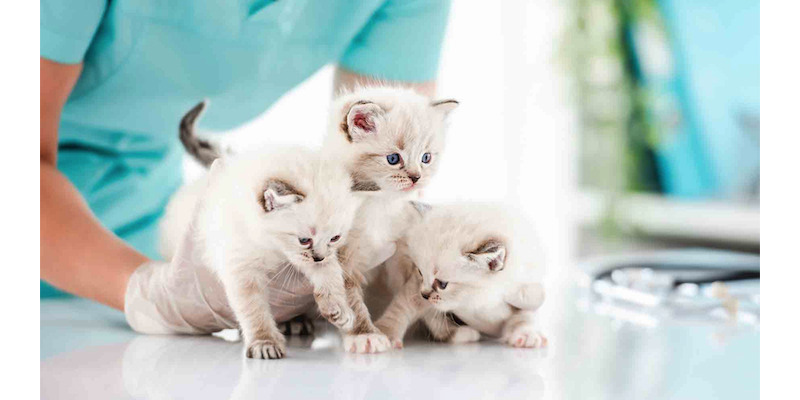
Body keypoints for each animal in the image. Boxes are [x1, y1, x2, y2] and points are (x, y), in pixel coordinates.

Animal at [160, 102, 364, 359]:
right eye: (304, 240)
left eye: (335, 238)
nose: (318, 257)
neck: (273, 248)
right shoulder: (240, 267)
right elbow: (253, 309)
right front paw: (264, 342)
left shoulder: (315, 258)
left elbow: (331, 274)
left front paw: (338, 309)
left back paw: (295, 320)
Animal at [321, 86, 459, 353]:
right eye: (393, 159)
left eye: (426, 158)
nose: (416, 178)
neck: (381, 204)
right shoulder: (343, 257)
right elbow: (350, 302)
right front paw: (365, 335)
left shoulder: (408, 255)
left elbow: (411, 299)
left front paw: (391, 330)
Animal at [374, 202, 548, 349]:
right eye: (420, 272)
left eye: (442, 284)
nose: (424, 295)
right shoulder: (414, 286)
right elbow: (400, 308)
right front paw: (385, 334)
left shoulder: (529, 291)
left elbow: (525, 315)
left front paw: (526, 335)